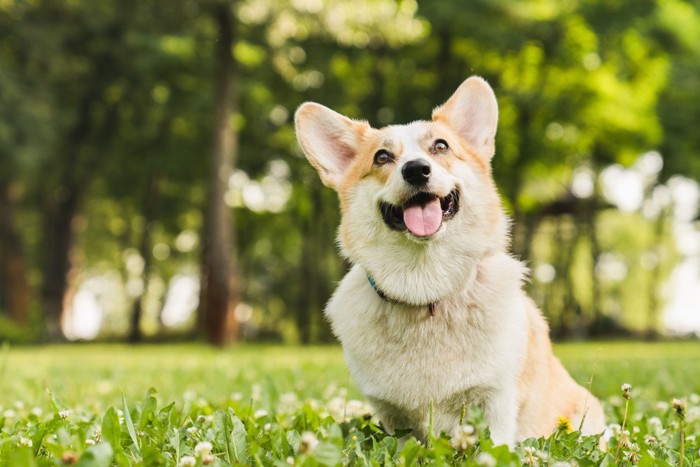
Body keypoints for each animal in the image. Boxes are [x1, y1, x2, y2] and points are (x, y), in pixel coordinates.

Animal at [292, 76, 604, 446]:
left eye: (440, 147)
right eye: (382, 157)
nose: (416, 170)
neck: (426, 287)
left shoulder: (496, 400)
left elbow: (495, 444)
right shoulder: (391, 414)